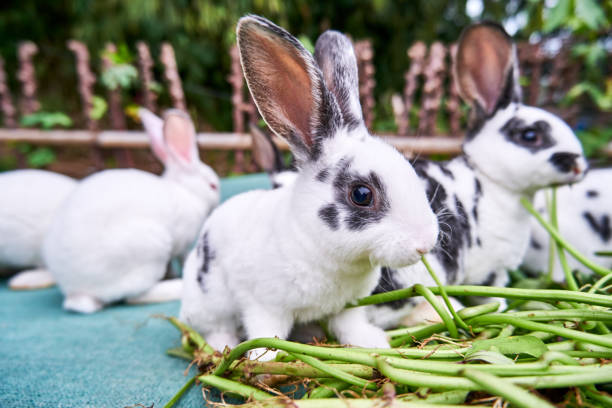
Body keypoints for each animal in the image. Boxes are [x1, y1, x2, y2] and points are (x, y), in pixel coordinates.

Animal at [42, 108, 220, 312]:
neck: (186, 191)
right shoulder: (182, 244)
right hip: (150, 249)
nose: (217, 198)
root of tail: (76, 290)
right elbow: (182, 259)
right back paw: (174, 287)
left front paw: (171, 273)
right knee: (134, 297)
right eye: (212, 185)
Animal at [178, 15, 440, 360]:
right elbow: (266, 334)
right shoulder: (264, 305)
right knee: (213, 326)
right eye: (361, 194)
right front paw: (264, 360)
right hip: (210, 302)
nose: (426, 242)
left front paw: (372, 343)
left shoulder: (348, 306)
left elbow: (349, 326)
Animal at [368, 21, 588, 328]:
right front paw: (502, 309)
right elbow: (491, 295)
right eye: (529, 135)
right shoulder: (490, 271)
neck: (491, 183)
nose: (579, 166)